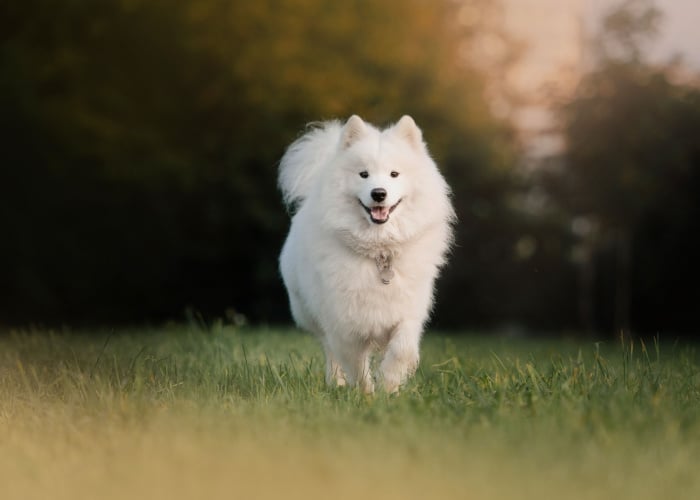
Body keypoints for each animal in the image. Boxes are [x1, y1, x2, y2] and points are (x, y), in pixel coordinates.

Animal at [278, 115, 454, 392]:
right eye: (363, 174)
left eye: (394, 174)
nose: (378, 193)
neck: (379, 253)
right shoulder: (345, 324)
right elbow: (356, 364)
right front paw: (366, 394)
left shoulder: (408, 313)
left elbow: (402, 349)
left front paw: (389, 385)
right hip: (311, 313)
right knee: (329, 351)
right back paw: (335, 383)